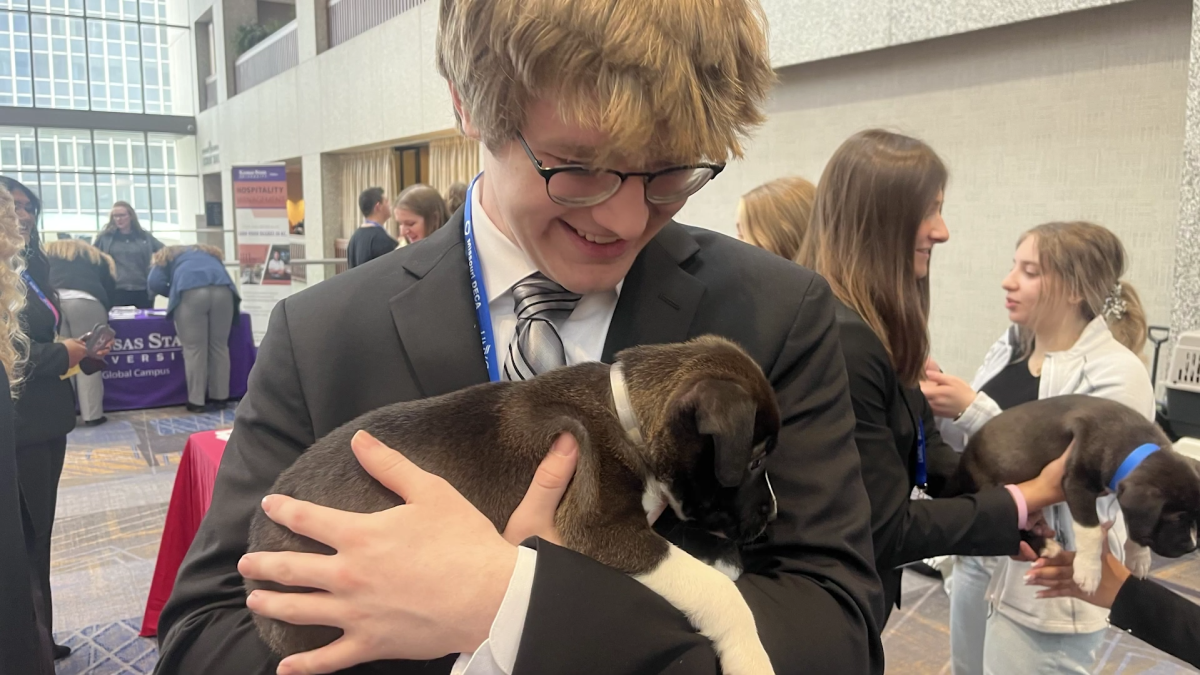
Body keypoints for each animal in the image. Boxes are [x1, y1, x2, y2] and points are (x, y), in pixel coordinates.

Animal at [248, 333, 782, 667]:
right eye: (754, 459)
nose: (774, 514)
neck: (625, 409)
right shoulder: (599, 530)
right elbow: (714, 591)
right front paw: (750, 656)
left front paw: (722, 555)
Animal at [945, 391, 1200, 590]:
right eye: (1176, 518)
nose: (1191, 547)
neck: (1134, 445)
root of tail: (961, 465)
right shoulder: (1077, 483)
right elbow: (1092, 531)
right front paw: (1089, 571)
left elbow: (1136, 525)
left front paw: (1139, 557)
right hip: (992, 488)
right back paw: (1044, 546)